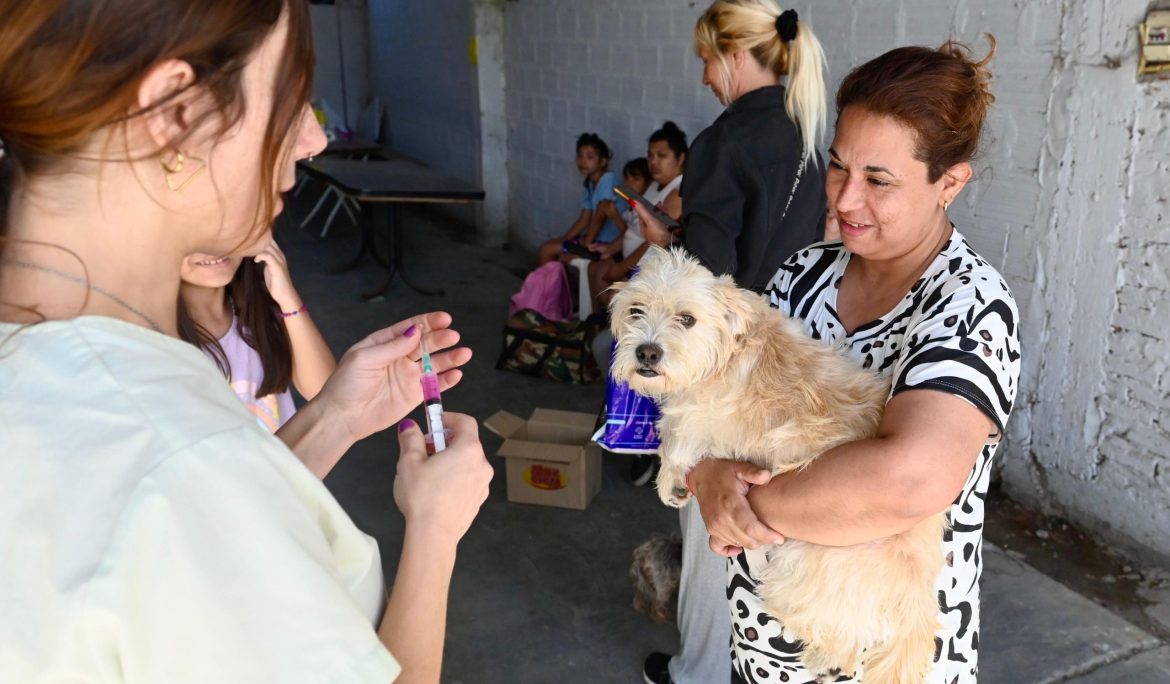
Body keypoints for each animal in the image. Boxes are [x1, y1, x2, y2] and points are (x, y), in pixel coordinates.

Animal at [608, 247, 945, 682]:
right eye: (636, 311)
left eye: (687, 319)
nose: (647, 352)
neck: (724, 352)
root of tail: (916, 594)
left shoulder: (703, 415)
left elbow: (677, 439)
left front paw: (670, 481)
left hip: (794, 569)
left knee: (840, 640)